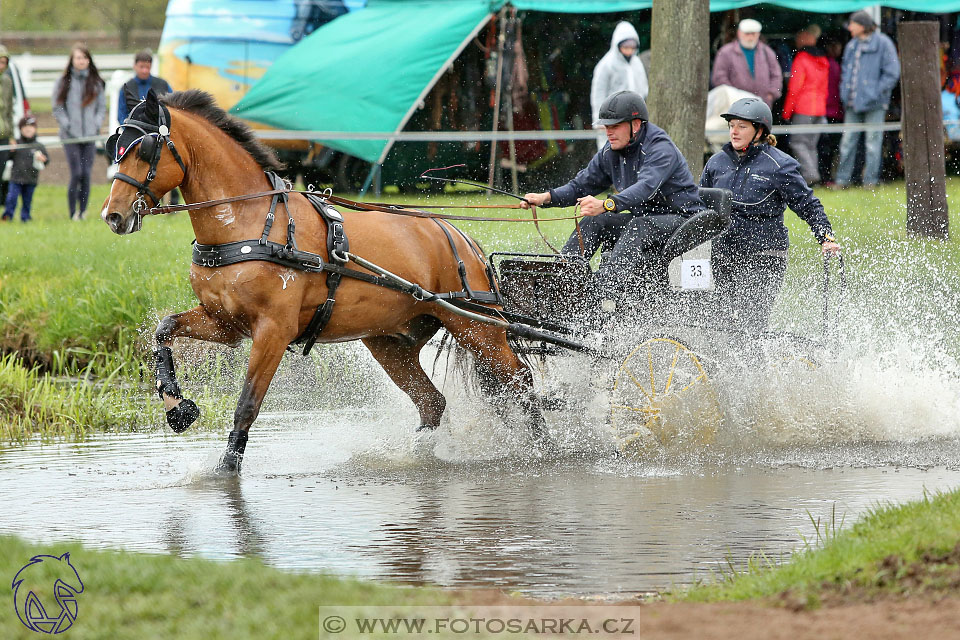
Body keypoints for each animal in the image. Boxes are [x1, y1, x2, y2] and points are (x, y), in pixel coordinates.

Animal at [101, 89, 552, 470]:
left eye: (142, 149)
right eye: (115, 147)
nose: (112, 215)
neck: (249, 223)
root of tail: (459, 235)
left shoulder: (274, 330)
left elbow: (247, 405)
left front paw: (226, 469)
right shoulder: (225, 323)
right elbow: (164, 329)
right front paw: (176, 406)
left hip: (477, 327)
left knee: (519, 381)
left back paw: (543, 448)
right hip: (390, 342)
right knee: (433, 403)